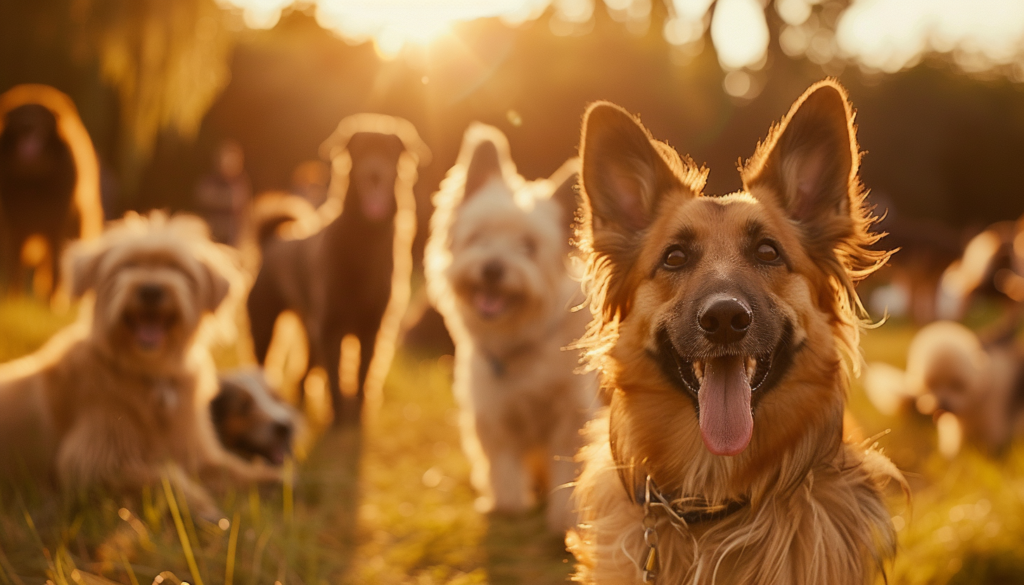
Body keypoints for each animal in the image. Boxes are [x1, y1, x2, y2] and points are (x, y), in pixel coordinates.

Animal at [0, 211, 280, 516]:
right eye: (127, 266)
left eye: (177, 268)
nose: (151, 290)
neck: (149, 373)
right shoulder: (95, 462)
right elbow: (164, 476)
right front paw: (199, 506)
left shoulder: (192, 449)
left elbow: (229, 468)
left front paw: (269, 479)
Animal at [249, 114, 430, 426]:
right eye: (361, 151)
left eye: (388, 152)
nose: (374, 173)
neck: (364, 241)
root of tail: (272, 242)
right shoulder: (331, 328)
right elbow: (335, 377)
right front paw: (337, 419)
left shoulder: (372, 328)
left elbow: (363, 374)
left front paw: (357, 418)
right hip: (266, 326)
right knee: (265, 366)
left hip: (309, 331)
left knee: (302, 373)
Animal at [425, 124, 598, 536]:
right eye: (479, 236)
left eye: (528, 246)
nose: (492, 268)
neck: (521, 341)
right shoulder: (492, 411)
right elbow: (501, 461)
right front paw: (507, 506)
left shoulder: (572, 416)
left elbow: (569, 466)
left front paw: (566, 520)